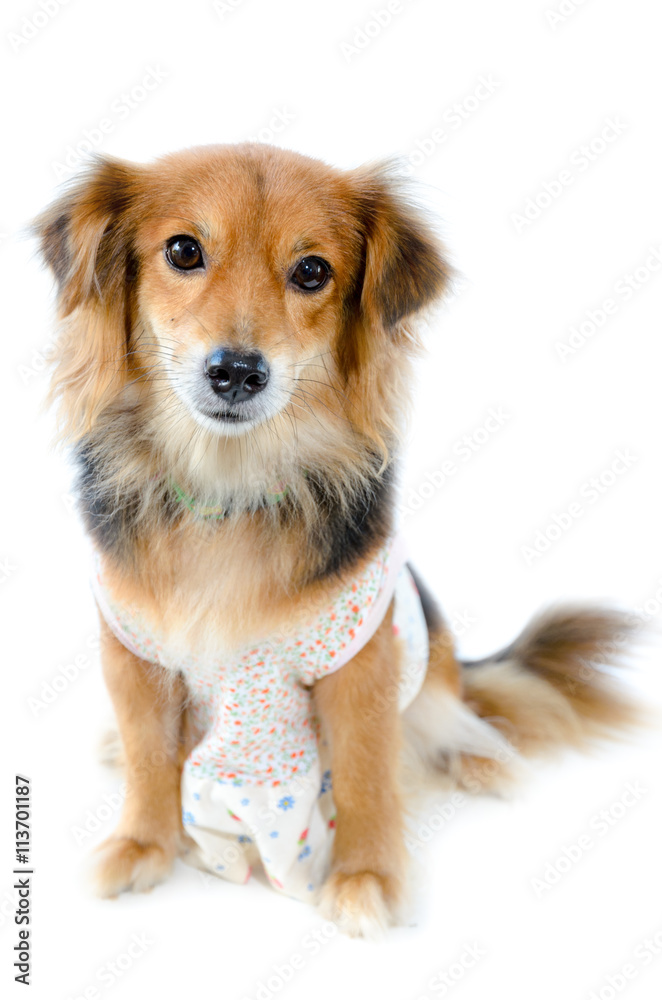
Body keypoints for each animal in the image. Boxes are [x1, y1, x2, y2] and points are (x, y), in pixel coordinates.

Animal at [35, 143, 644, 936]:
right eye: (183, 251)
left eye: (312, 271)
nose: (237, 371)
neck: (232, 490)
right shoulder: (134, 649)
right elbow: (147, 755)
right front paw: (143, 841)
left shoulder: (361, 662)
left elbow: (364, 773)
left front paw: (366, 876)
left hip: (432, 657)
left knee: (456, 713)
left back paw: (483, 760)